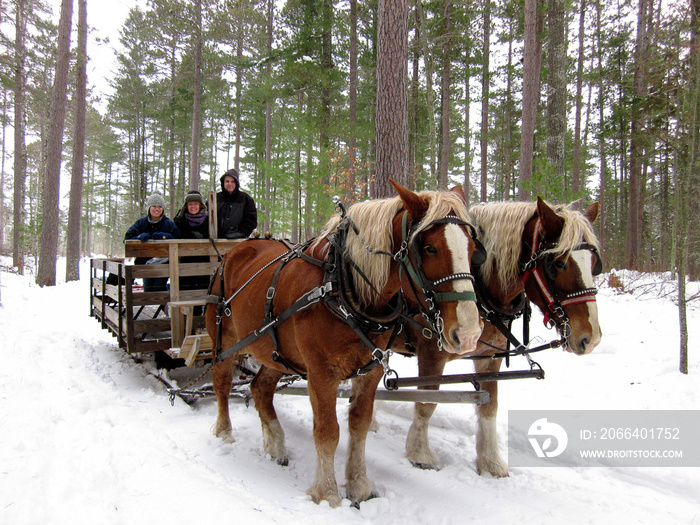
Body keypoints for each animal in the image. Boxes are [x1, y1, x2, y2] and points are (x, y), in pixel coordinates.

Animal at [205, 181, 484, 508]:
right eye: (429, 248)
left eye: (473, 250)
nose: (469, 333)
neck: (342, 285)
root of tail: (235, 251)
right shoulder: (321, 374)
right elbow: (327, 432)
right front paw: (327, 493)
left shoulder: (370, 371)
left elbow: (359, 426)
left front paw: (360, 485)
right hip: (225, 340)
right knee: (222, 383)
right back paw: (224, 432)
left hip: (276, 354)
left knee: (260, 389)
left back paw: (275, 445)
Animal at [404, 196, 600, 474]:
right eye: (558, 264)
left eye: (594, 263)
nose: (591, 338)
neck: (479, 288)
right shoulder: (431, 353)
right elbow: (426, 402)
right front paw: (419, 453)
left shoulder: (490, 358)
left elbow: (489, 407)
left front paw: (491, 462)